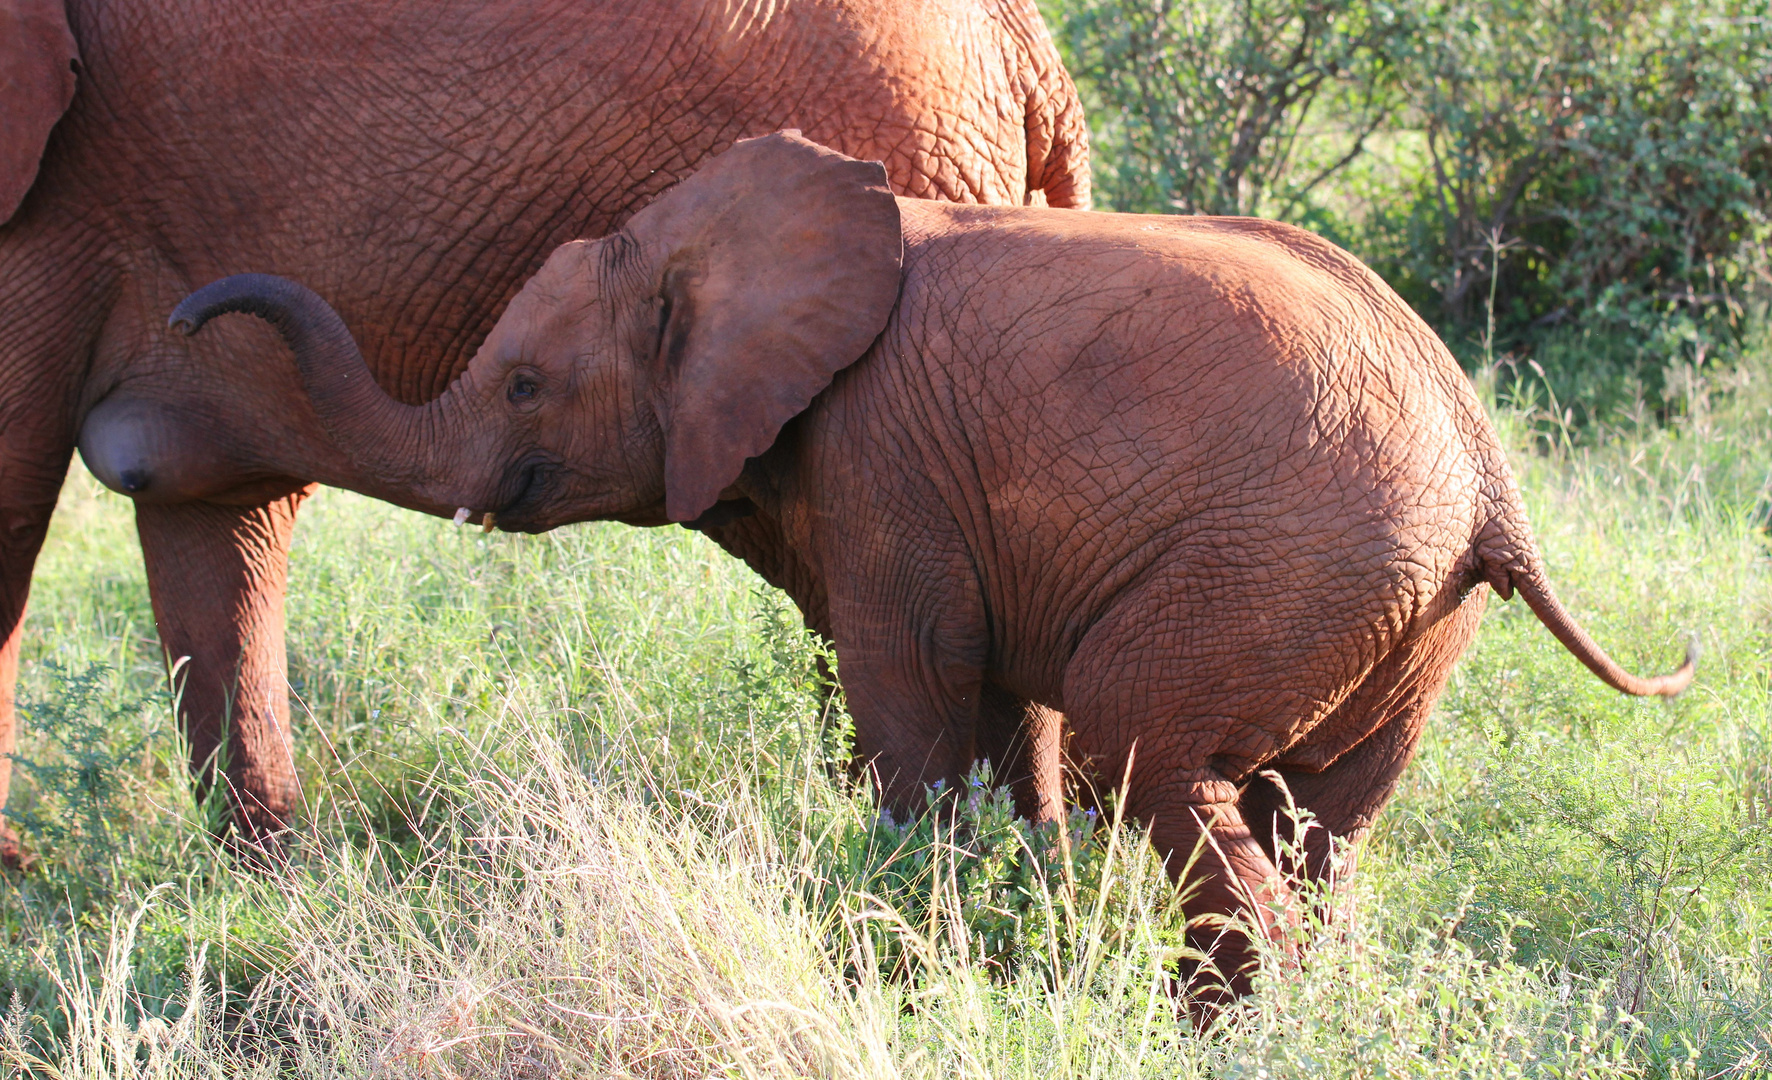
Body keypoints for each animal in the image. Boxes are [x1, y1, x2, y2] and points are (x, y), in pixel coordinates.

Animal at [0, 0, 1084, 854]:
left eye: (525, 387)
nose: (191, 319)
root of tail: (1028, 42)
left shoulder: (52, 200)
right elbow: (210, 530)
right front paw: (267, 885)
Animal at [176, 134, 1686, 993]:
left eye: (526, 386)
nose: (190, 319)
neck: (706, 242)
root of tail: (1491, 483)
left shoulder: (880, 458)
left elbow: (915, 701)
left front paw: (914, 943)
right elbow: (1004, 725)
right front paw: (1015, 941)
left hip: (1287, 563)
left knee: (1146, 749)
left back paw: (1235, 1026)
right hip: (1397, 611)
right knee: (1320, 821)